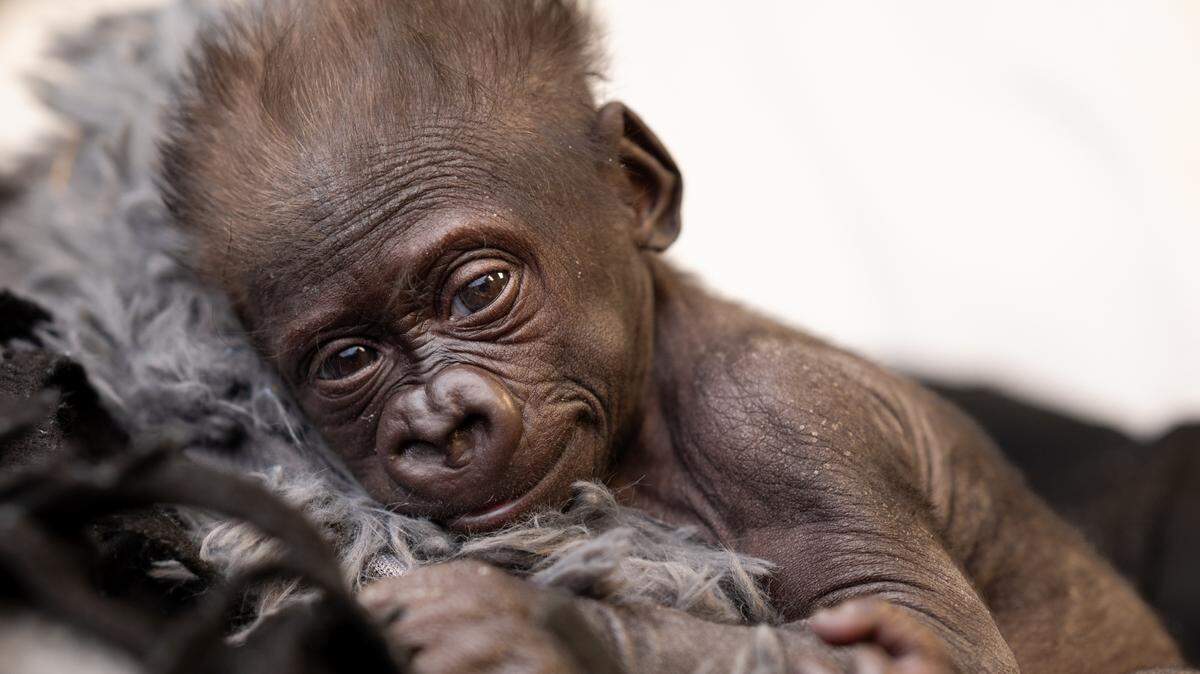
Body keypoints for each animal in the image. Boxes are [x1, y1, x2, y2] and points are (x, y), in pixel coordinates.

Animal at [160, 1, 1188, 672]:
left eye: (479, 290)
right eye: (348, 360)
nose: (438, 425)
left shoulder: (783, 421)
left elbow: (941, 645)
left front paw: (539, 629)